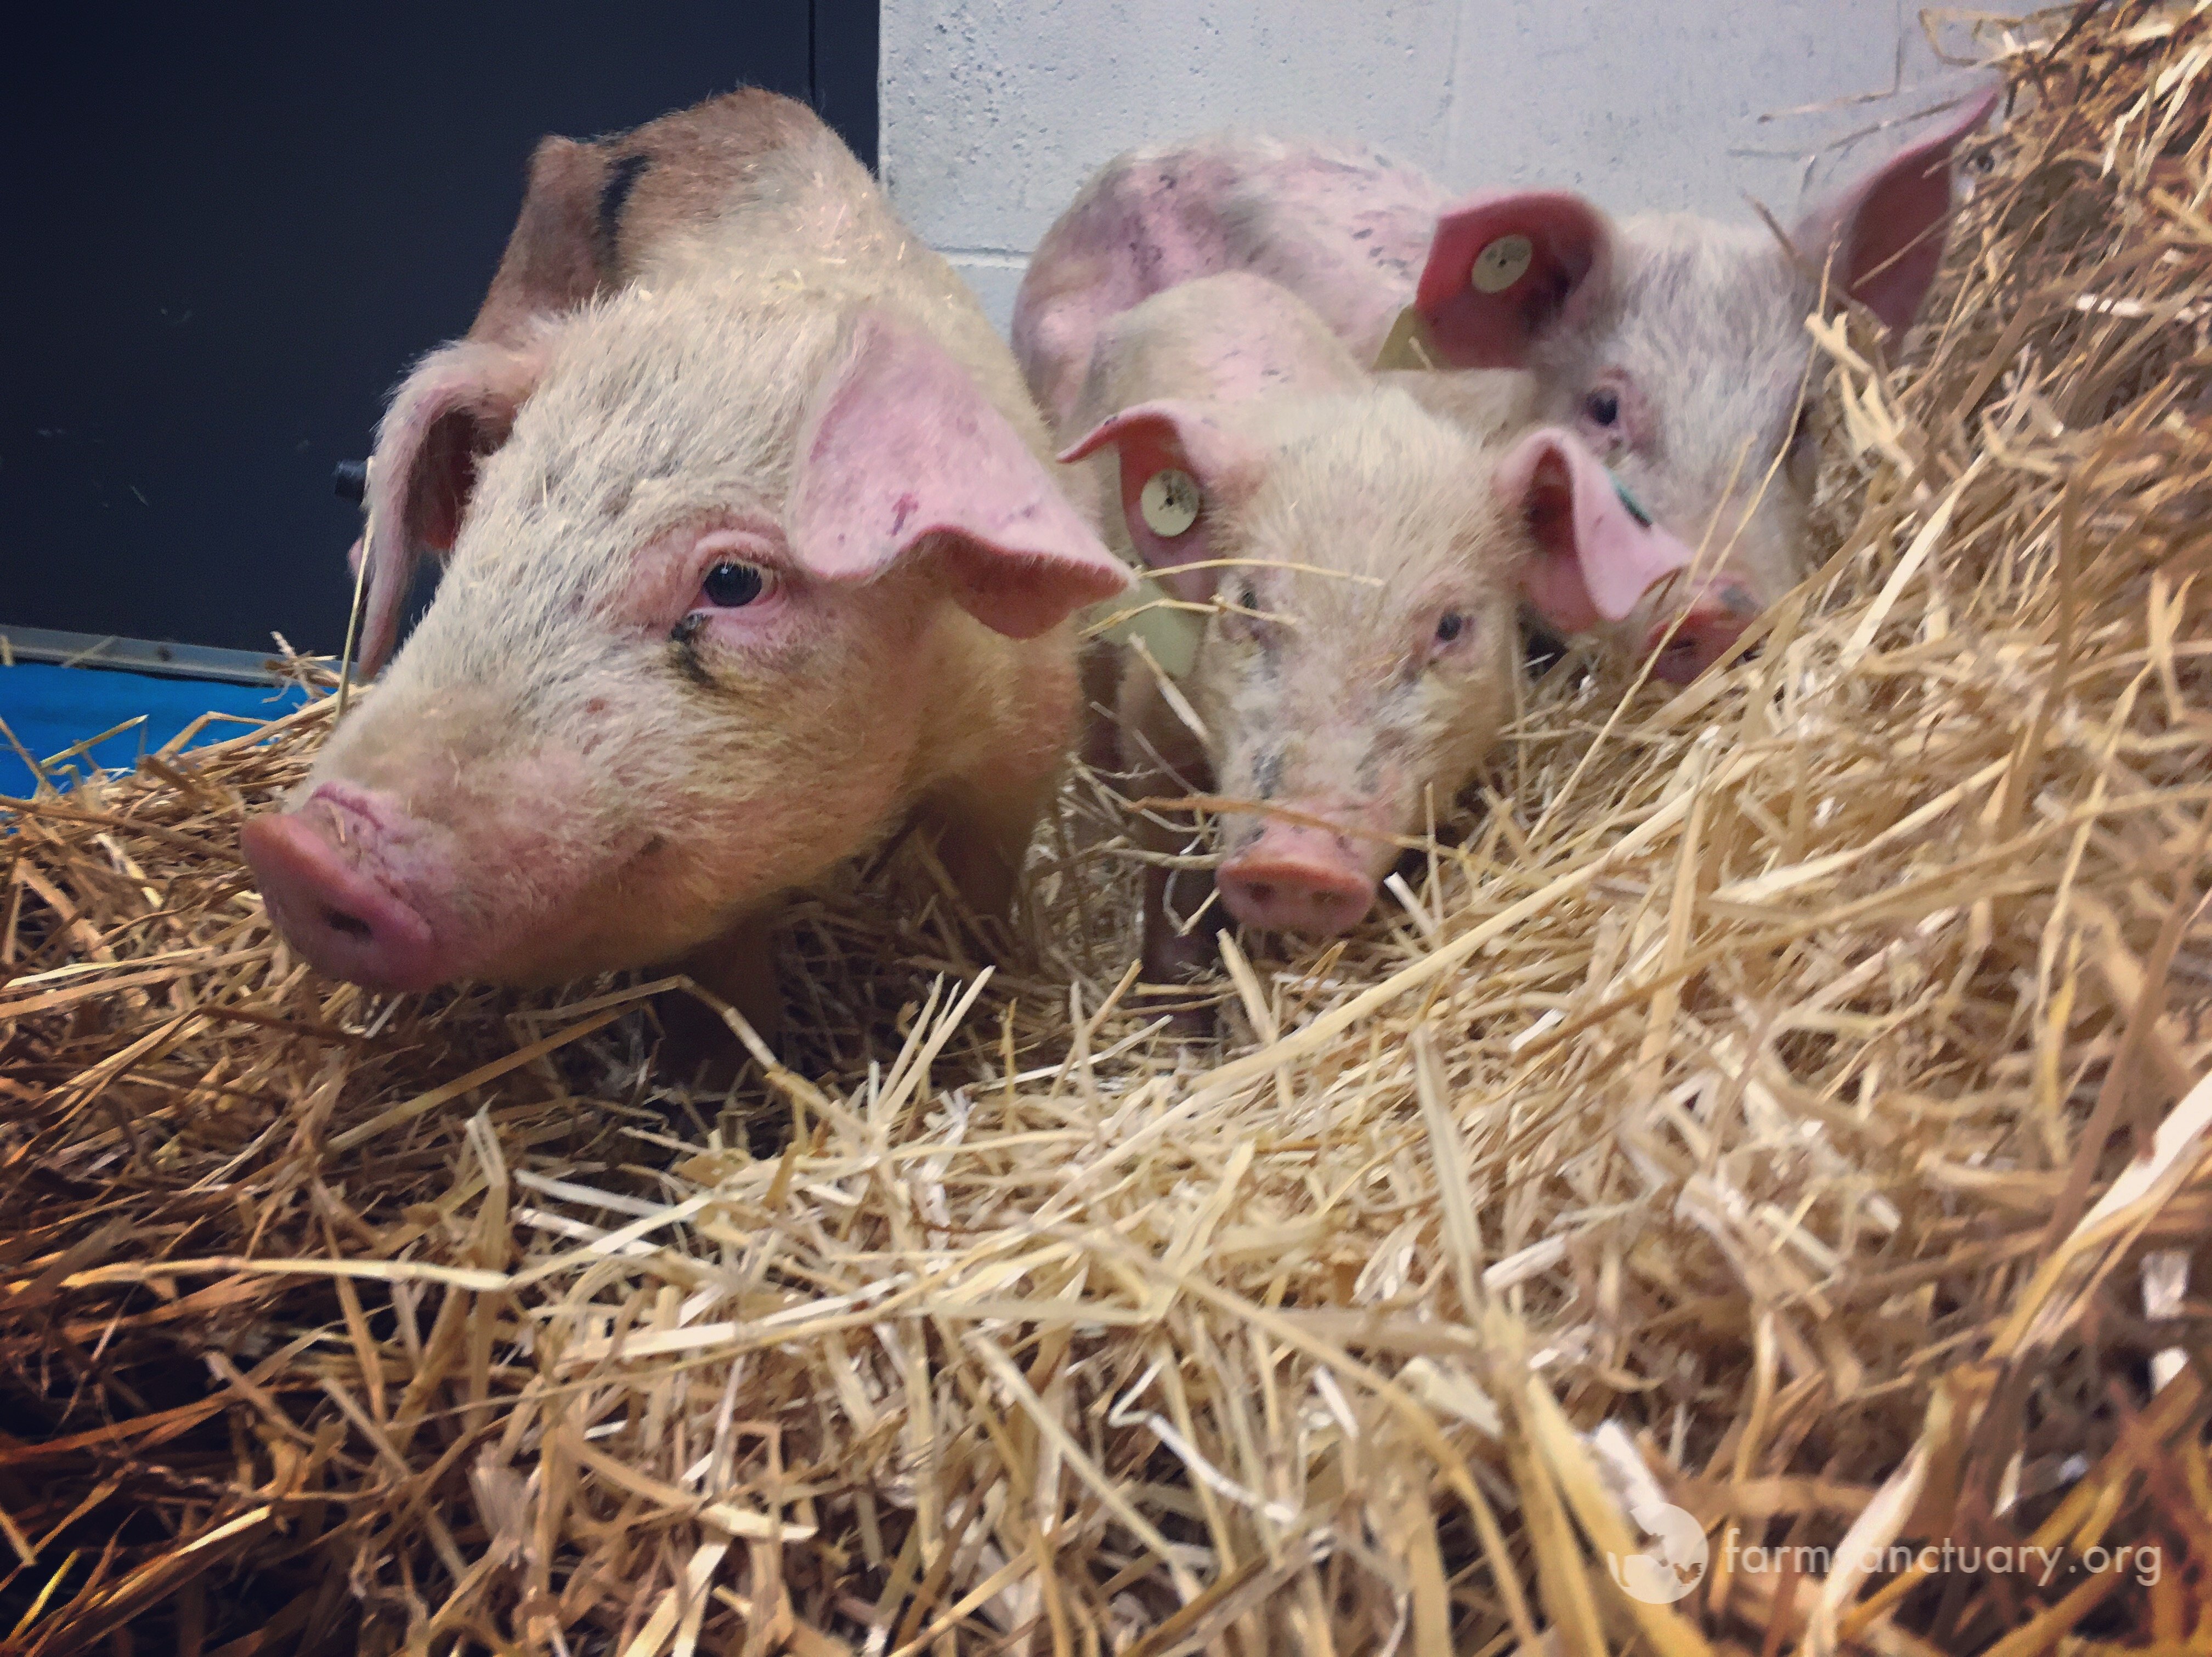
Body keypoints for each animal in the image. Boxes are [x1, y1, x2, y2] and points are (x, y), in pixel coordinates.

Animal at [240, 91, 1129, 1033]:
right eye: (487, 517)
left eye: (734, 580)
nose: (298, 853)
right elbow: (722, 984)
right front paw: (745, 1060)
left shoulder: (1027, 738)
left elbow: (979, 901)